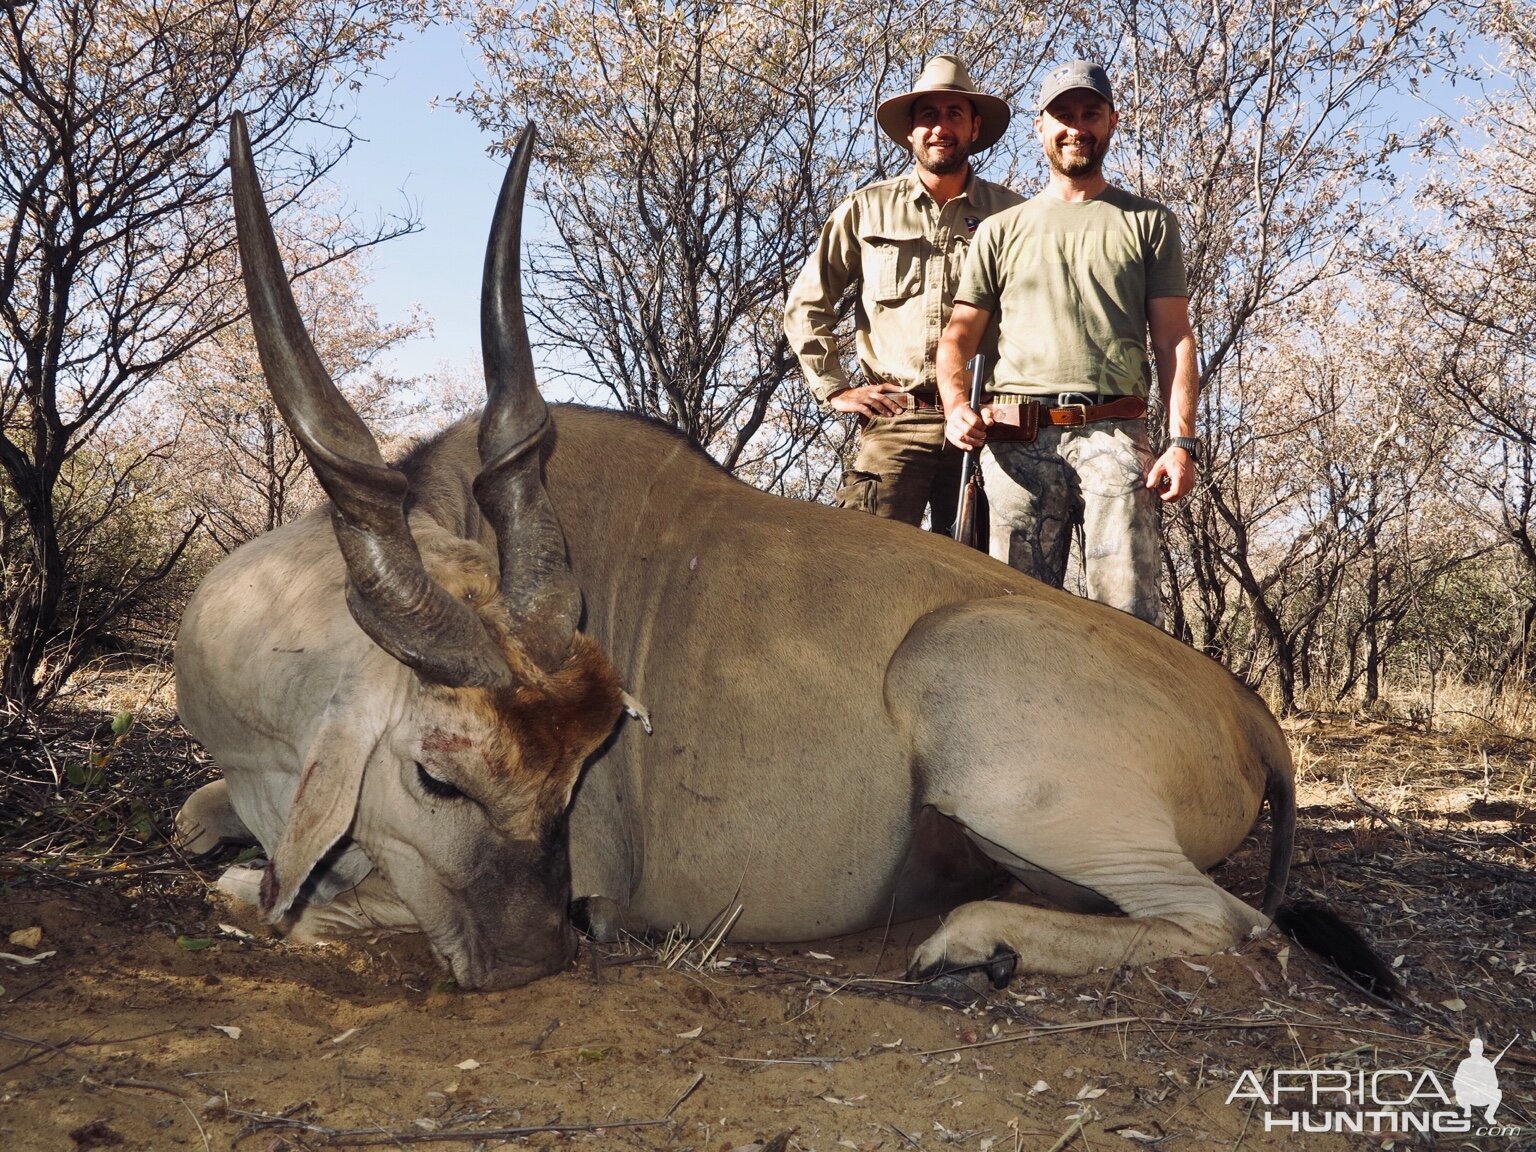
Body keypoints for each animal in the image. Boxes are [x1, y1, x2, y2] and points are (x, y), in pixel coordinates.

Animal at [176, 119, 1394, 1001]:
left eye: (581, 773)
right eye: (438, 775)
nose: (539, 956)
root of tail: (1251, 718)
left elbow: (265, 887)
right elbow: (201, 817)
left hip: (986, 724)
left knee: (1229, 921)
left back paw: (971, 942)